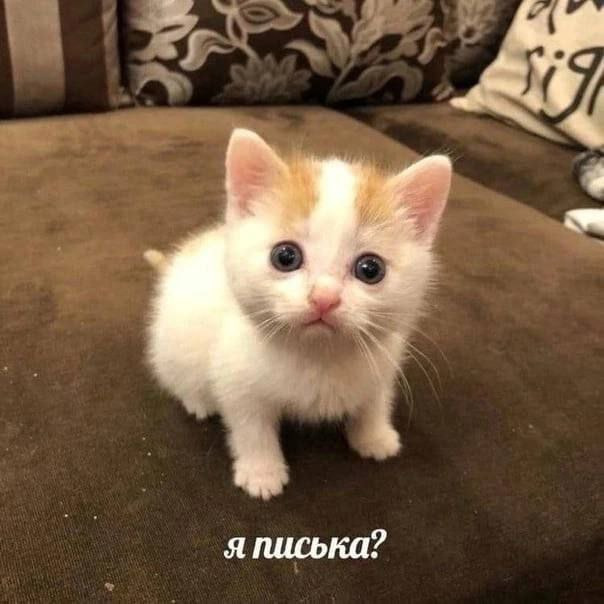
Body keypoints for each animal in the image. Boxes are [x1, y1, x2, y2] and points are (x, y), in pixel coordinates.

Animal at [145, 128, 451, 500]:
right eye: (285, 257)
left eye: (370, 269)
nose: (324, 298)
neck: (318, 355)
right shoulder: (237, 380)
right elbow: (251, 429)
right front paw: (262, 472)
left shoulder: (382, 362)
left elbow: (374, 401)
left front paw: (375, 437)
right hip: (174, 345)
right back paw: (198, 401)